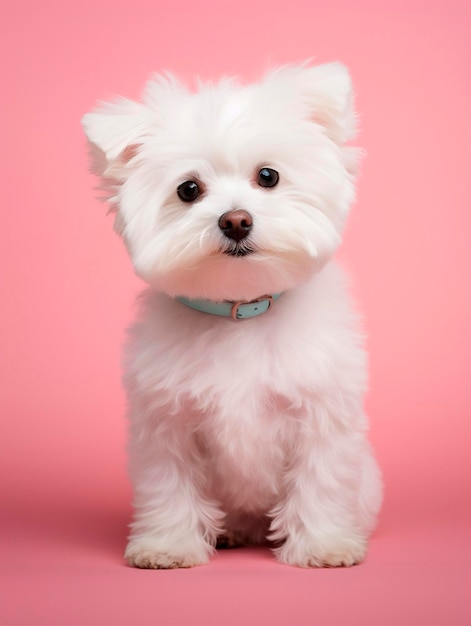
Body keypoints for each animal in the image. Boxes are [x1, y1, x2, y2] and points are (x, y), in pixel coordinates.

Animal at [83, 62, 382, 564]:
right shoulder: (168, 423)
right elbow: (170, 484)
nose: (235, 220)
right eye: (188, 189)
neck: (238, 311)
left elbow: (319, 479)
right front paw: (168, 545)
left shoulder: (319, 414)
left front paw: (323, 543)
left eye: (268, 176)